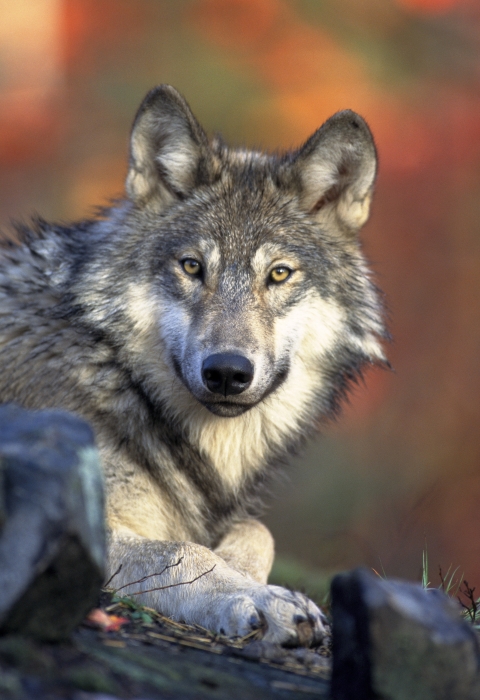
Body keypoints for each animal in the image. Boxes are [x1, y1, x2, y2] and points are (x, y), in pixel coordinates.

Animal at [0, 85, 386, 646]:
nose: (227, 371)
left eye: (278, 274)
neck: (116, 374)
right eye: (192, 267)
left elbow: (257, 530)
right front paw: (260, 598)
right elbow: (185, 550)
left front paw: (249, 578)